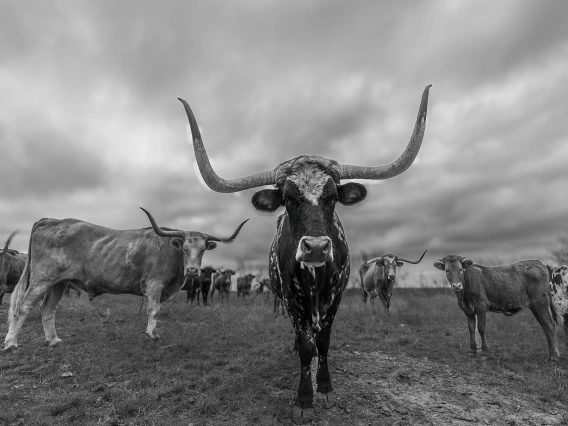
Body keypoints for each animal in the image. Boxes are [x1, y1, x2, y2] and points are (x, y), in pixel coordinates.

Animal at [2, 206, 246, 350]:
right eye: (185, 248)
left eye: (203, 249)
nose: (193, 271)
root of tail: (51, 220)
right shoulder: (155, 284)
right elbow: (153, 310)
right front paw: (152, 335)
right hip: (41, 279)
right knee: (23, 307)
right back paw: (11, 343)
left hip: (58, 283)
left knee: (48, 309)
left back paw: (53, 340)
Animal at [178, 85, 430, 424]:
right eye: (287, 198)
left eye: (332, 196)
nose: (316, 247)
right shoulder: (291, 297)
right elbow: (308, 345)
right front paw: (304, 399)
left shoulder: (336, 296)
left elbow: (323, 342)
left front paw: (324, 388)